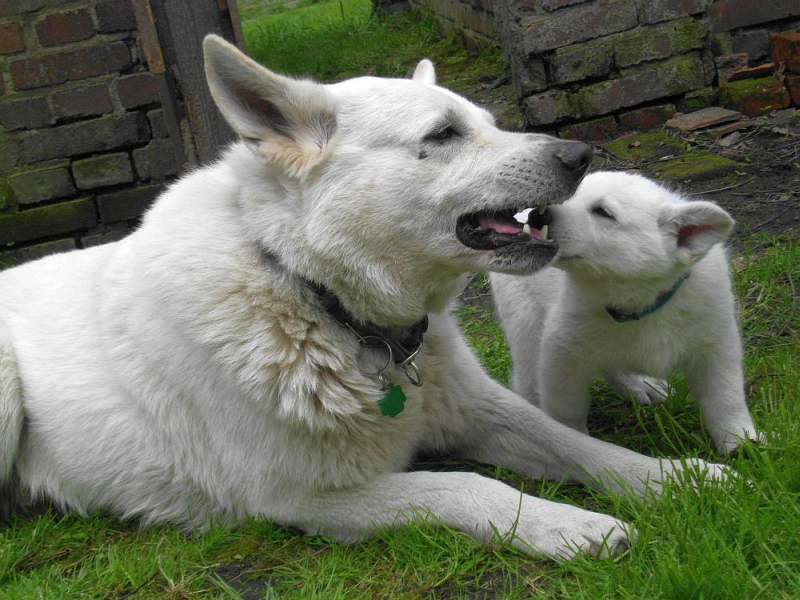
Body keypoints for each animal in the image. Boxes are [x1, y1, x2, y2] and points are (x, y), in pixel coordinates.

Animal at [490, 171, 760, 452]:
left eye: (603, 212)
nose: (538, 216)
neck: (638, 300)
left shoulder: (714, 333)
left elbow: (725, 394)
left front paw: (742, 443)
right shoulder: (564, 345)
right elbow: (566, 405)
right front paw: (574, 440)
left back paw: (640, 384)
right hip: (524, 316)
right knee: (528, 369)